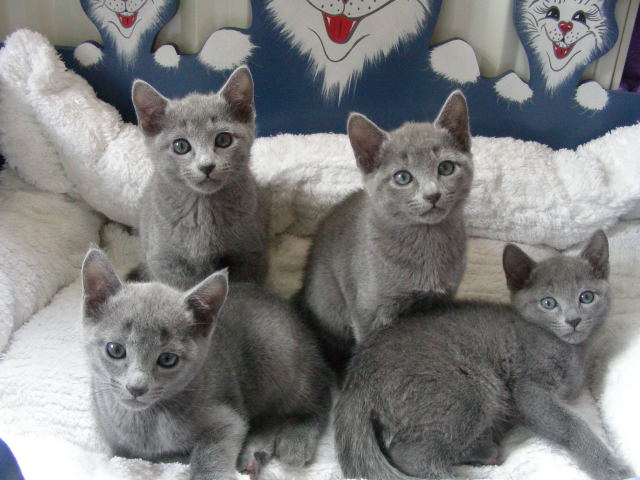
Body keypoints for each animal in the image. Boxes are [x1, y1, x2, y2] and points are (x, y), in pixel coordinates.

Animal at [81, 248, 332, 480]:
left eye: (167, 359)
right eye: (115, 350)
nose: (136, 387)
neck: (147, 421)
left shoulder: (227, 420)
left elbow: (208, 450)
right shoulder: (119, 447)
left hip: (279, 358)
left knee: (318, 399)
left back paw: (295, 441)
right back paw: (253, 455)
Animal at [131, 65, 269, 290]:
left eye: (223, 139)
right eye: (181, 146)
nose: (207, 166)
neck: (203, 210)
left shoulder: (250, 252)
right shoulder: (164, 261)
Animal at [299, 90, 473, 371]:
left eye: (446, 168)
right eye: (403, 177)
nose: (433, 194)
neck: (426, 241)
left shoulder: (444, 298)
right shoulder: (369, 312)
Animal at [334, 231, 635, 480]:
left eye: (587, 297)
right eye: (548, 303)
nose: (573, 320)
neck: (570, 350)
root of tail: (357, 377)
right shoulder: (530, 389)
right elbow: (571, 425)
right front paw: (609, 465)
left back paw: (484, 449)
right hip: (472, 391)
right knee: (409, 454)